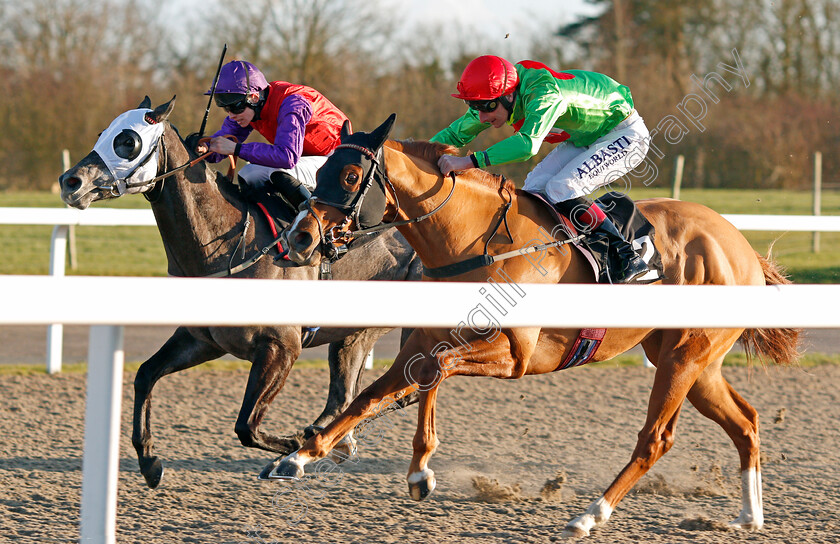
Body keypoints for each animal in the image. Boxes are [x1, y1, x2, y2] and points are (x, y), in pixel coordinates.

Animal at [59, 96, 420, 488]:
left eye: (128, 141)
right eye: (102, 134)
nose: (69, 181)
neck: (232, 244)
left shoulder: (281, 348)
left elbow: (246, 425)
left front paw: (293, 447)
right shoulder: (203, 340)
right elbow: (144, 375)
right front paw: (150, 461)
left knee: (404, 389)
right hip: (356, 333)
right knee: (348, 396)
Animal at [272, 115, 796, 536]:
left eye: (350, 176)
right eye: (319, 171)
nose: (299, 237)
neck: (473, 241)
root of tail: (742, 247)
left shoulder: (516, 355)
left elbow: (433, 372)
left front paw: (418, 468)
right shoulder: (427, 336)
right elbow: (376, 393)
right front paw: (300, 456)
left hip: (685, 357)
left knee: (655, 440)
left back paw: (589, 516)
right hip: (690, 361)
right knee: (745, 421)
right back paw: (749, 516)